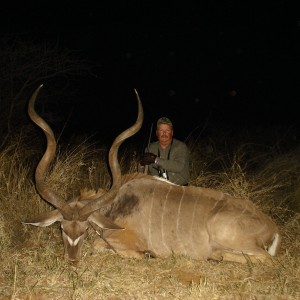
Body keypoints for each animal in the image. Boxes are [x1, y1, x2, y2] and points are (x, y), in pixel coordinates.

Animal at [24, 84, 282, 262]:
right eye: (62, 228)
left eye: (85, 229)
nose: (71, 259)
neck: (116, 205)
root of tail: (272, 227)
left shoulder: (124, 238)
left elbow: (102, 246)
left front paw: (148, 254)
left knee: (266, 259)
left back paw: (214, 256)